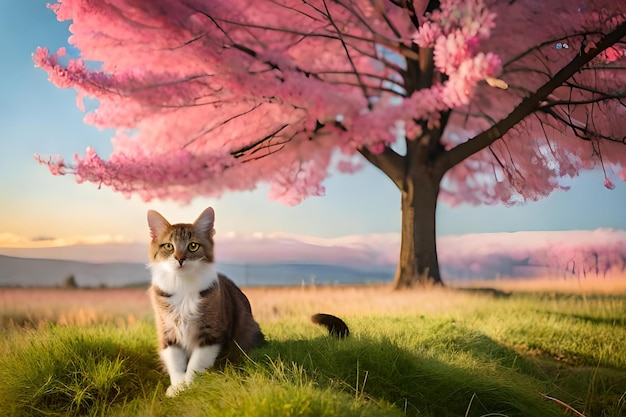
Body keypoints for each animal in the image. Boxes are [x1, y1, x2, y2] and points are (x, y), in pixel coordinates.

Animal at [148, 206, 348, 394]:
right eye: (168, 246)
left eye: (193, 246)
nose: (179, 258)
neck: (183, 286)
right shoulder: (167, 332)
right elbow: (176, 362)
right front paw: (177, 387)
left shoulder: (212, 332)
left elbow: (196, 364)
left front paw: (189, 387)